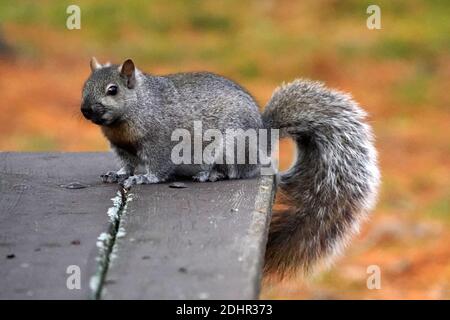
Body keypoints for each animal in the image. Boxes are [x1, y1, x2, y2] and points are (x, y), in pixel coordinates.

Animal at [81, 57, 380, 278]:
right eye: (85, 86)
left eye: (112, 90)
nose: (85, 110)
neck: (135, 109)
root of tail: (262, 138)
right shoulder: (123, 148)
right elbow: (127, 165)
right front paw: (119, 174)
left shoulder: (160, 140)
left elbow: (158, 166)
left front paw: (144, 178)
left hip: (230, 147)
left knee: (235, 172)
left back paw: (210, 174)